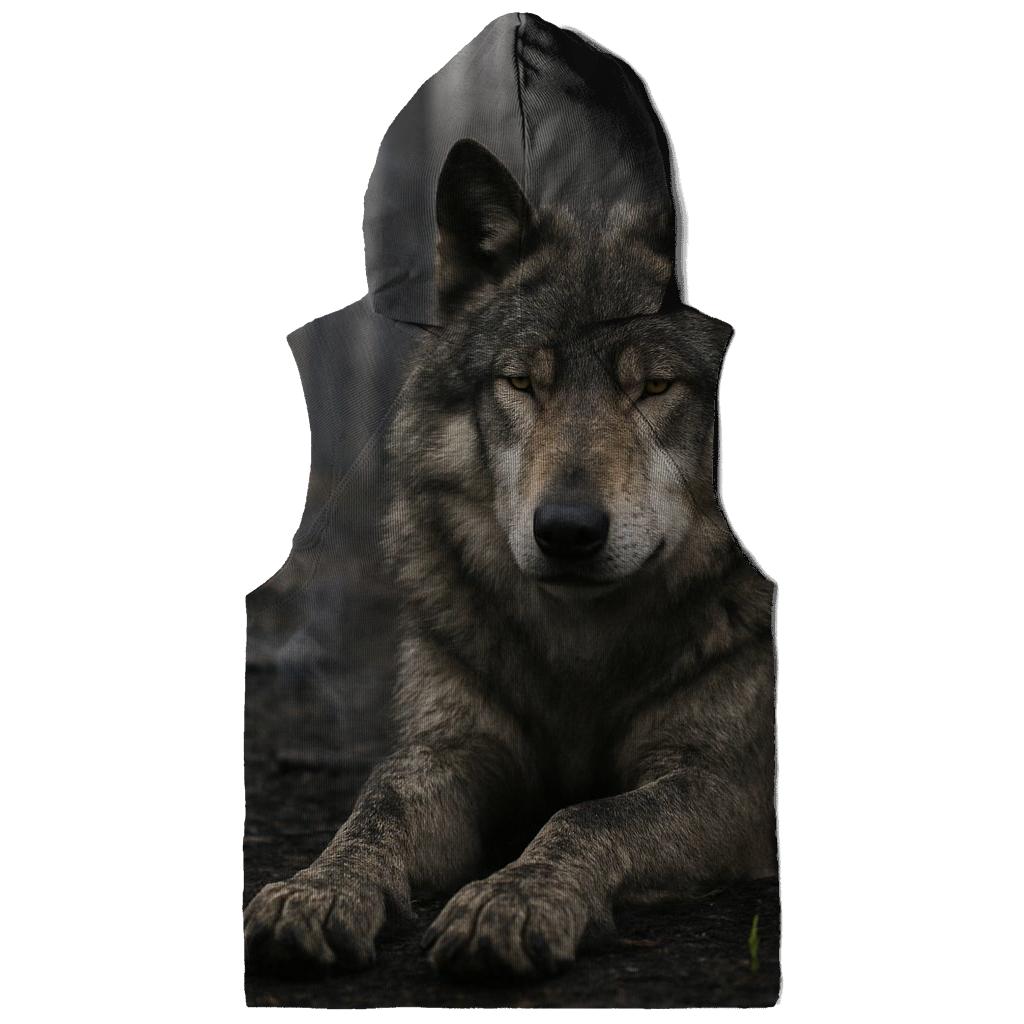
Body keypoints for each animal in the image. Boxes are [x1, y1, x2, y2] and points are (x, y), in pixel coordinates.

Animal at [243, 139, 777, 979]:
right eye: (521, 382)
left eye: (656, 386)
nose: (567, 530)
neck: (580, 655)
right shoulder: (457, 749)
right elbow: (379, 804)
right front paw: (318, 890)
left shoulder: (728, 782)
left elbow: (588, 815)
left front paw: (512, 899)